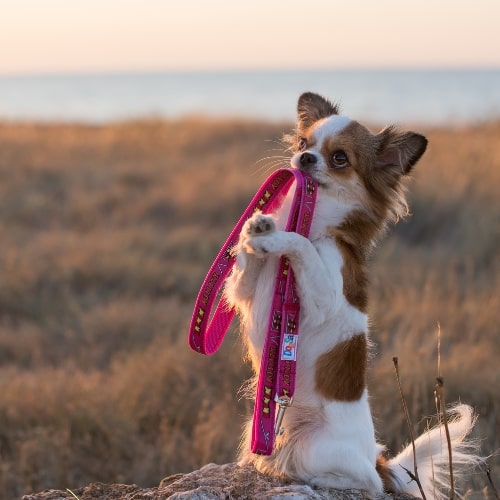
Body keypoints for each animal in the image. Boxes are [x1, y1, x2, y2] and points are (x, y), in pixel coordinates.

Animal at [225, 93, 482, 496]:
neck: (314, 222)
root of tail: (378, 461)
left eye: (339, 158)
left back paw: (319, 478)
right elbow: (245, 266)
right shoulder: (243, 290)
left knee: (366, 482)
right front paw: (258, 228)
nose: (305, 159)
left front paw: (281, 237)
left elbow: (300, 244)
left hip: (318, 449)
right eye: (303, 144)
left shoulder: (324, 296)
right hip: (260, 429)